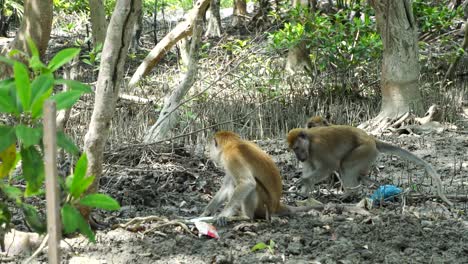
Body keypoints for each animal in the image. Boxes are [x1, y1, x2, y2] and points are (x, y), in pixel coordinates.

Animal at [286, 126, 454, 206]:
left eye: (297, 148)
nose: (299, 157)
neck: (309, 142)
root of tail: (372, 139)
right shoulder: (309, 155)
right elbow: (310, 169)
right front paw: (303, 193)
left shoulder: (318, 148)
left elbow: (330, 165)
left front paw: (303, 182)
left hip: (365, 150)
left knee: (345, 165)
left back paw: (349, 194)